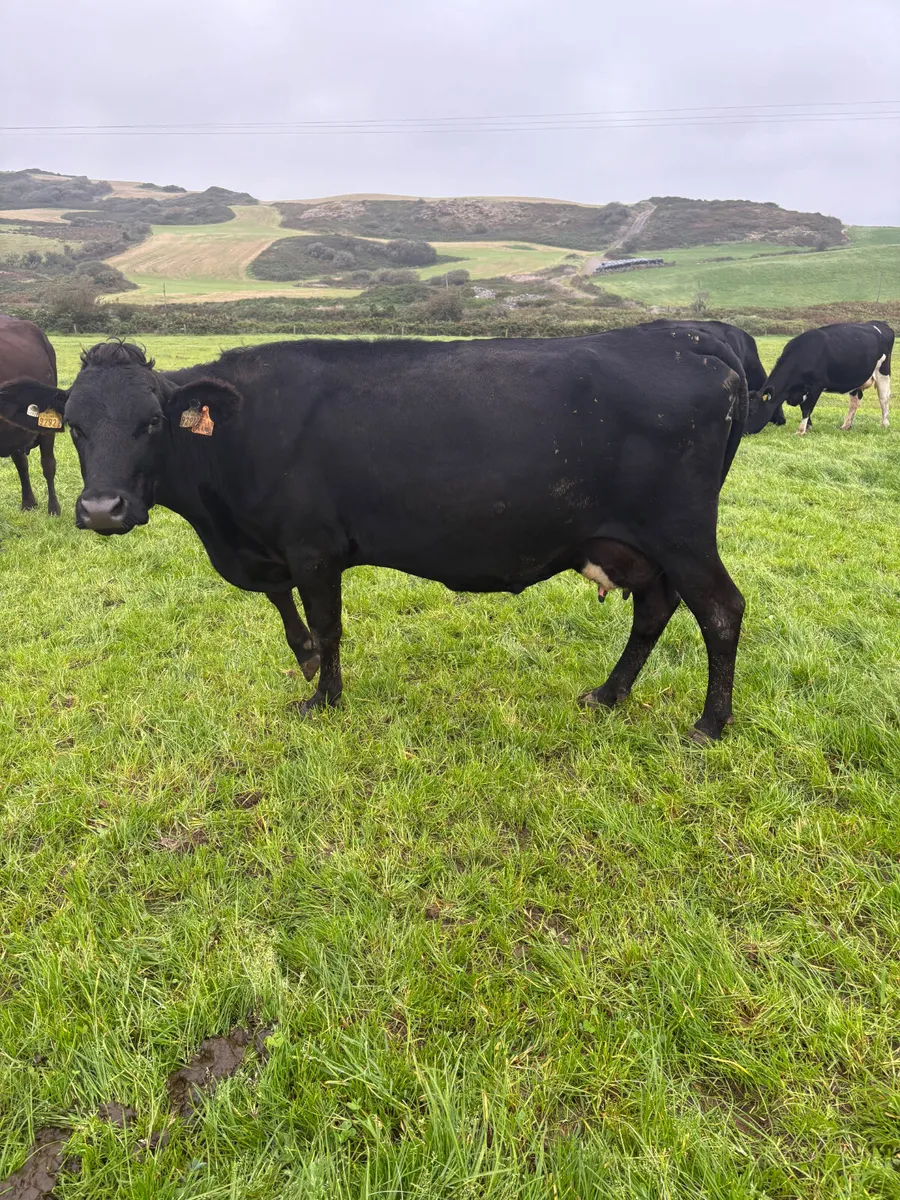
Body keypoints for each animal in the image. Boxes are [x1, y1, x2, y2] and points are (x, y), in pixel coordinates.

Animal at [747, 321, 894, 435]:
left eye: (752, 411)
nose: (743, 432)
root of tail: (880, 324)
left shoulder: (816, 386)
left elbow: (807, 408)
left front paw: (801, 430)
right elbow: (803, 407)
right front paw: (808, 427)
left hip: (883, 372)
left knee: (884, 399)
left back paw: (884, 424)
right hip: (857, 380)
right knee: (854, 402)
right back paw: (846, 426)